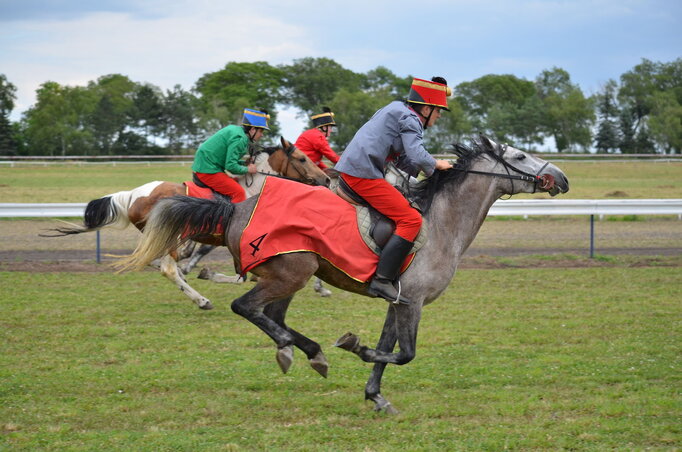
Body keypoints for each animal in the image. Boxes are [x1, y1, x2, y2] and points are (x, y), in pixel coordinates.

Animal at [46, 138, 328, 308]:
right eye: (302, 158)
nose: (325, 179)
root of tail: (133, 195)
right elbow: (241, 275)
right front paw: (209, 274)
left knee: (151, 259)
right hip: (171, 235)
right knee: (166, 268)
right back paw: (201, 299)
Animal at [118, 135, 568, 414]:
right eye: (520, 156)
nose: (562, 178)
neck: (441, 221)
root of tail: (235, 206)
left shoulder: (398, 301)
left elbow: (389, 351)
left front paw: (375, 396)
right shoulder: (414, 303)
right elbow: (403, 353)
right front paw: (354, 346)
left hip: (288, 276)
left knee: (270, 315)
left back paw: (307, 350)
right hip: (291, 274)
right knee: (245, 306)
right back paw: (290, 346)